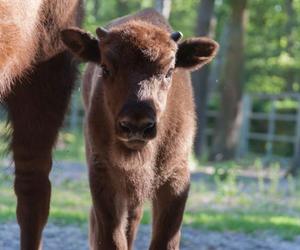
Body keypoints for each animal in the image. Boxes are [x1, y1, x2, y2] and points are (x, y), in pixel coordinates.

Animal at [61, 8, 218, 249]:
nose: (137, 124)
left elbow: (165, 237)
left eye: (169, 71)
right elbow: (112, 237)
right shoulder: (103, 175)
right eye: (105, 67)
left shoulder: (176, 178)